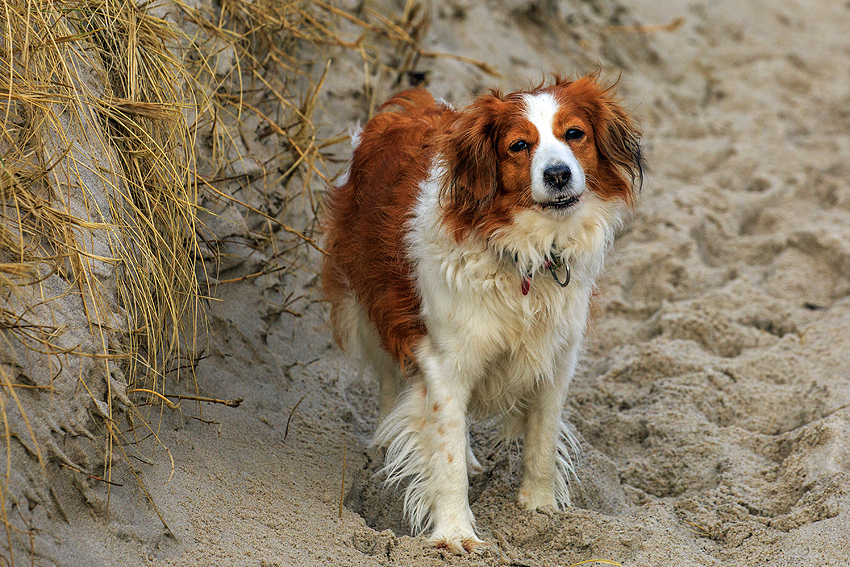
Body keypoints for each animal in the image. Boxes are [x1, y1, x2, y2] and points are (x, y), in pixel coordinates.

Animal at [322, 73, 640, 552]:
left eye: (574, 134)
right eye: (519, 145)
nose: (558, 174)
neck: (525, 253)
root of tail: (410, 105)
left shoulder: (556, 358)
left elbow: (541, 440)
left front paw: (540, 508)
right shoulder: (444, 362)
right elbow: (446, 455)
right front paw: (455, 531)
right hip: (371, 307)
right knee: (390, 384)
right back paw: (384, 443)